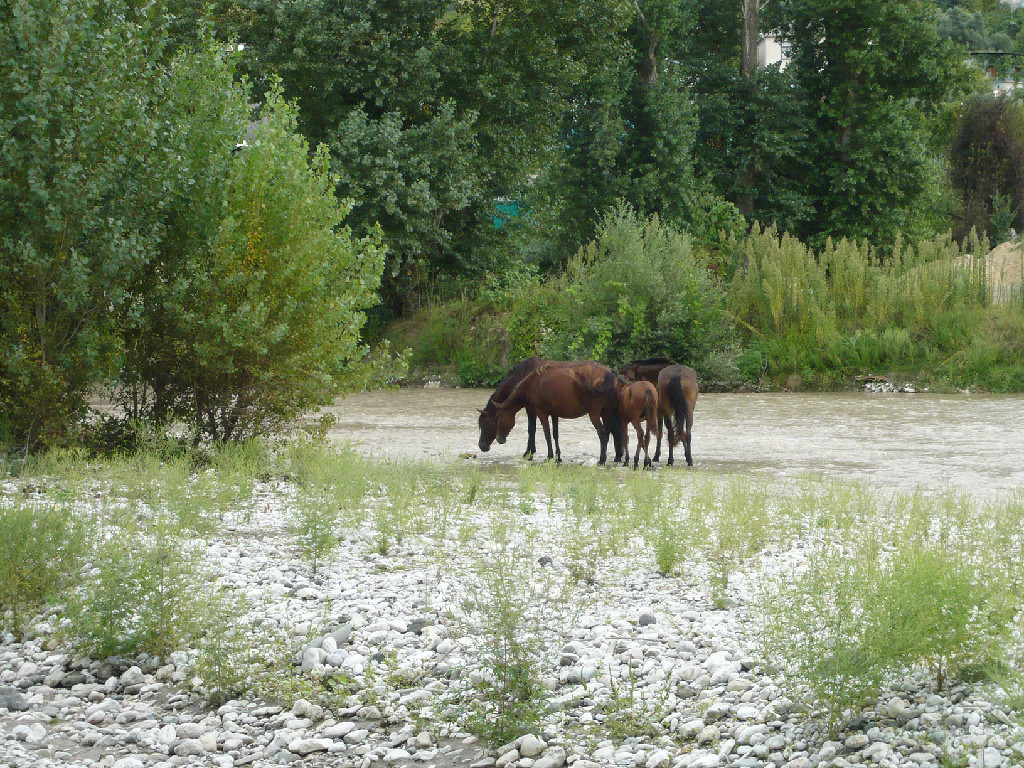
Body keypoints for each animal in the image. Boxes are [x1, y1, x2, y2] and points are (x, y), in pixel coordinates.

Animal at [489, 364, 622, 466]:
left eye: (498, 418)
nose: (499, 439)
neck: (532, 383)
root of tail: (610, 373)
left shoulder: (541, 413)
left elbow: (547, 435)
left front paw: (549, 456)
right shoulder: (554, 414)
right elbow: (555, 435)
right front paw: (558, 457)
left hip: (594, 414)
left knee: (602, 434)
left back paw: (601, 460)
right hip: (606, 413)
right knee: (608, 433)